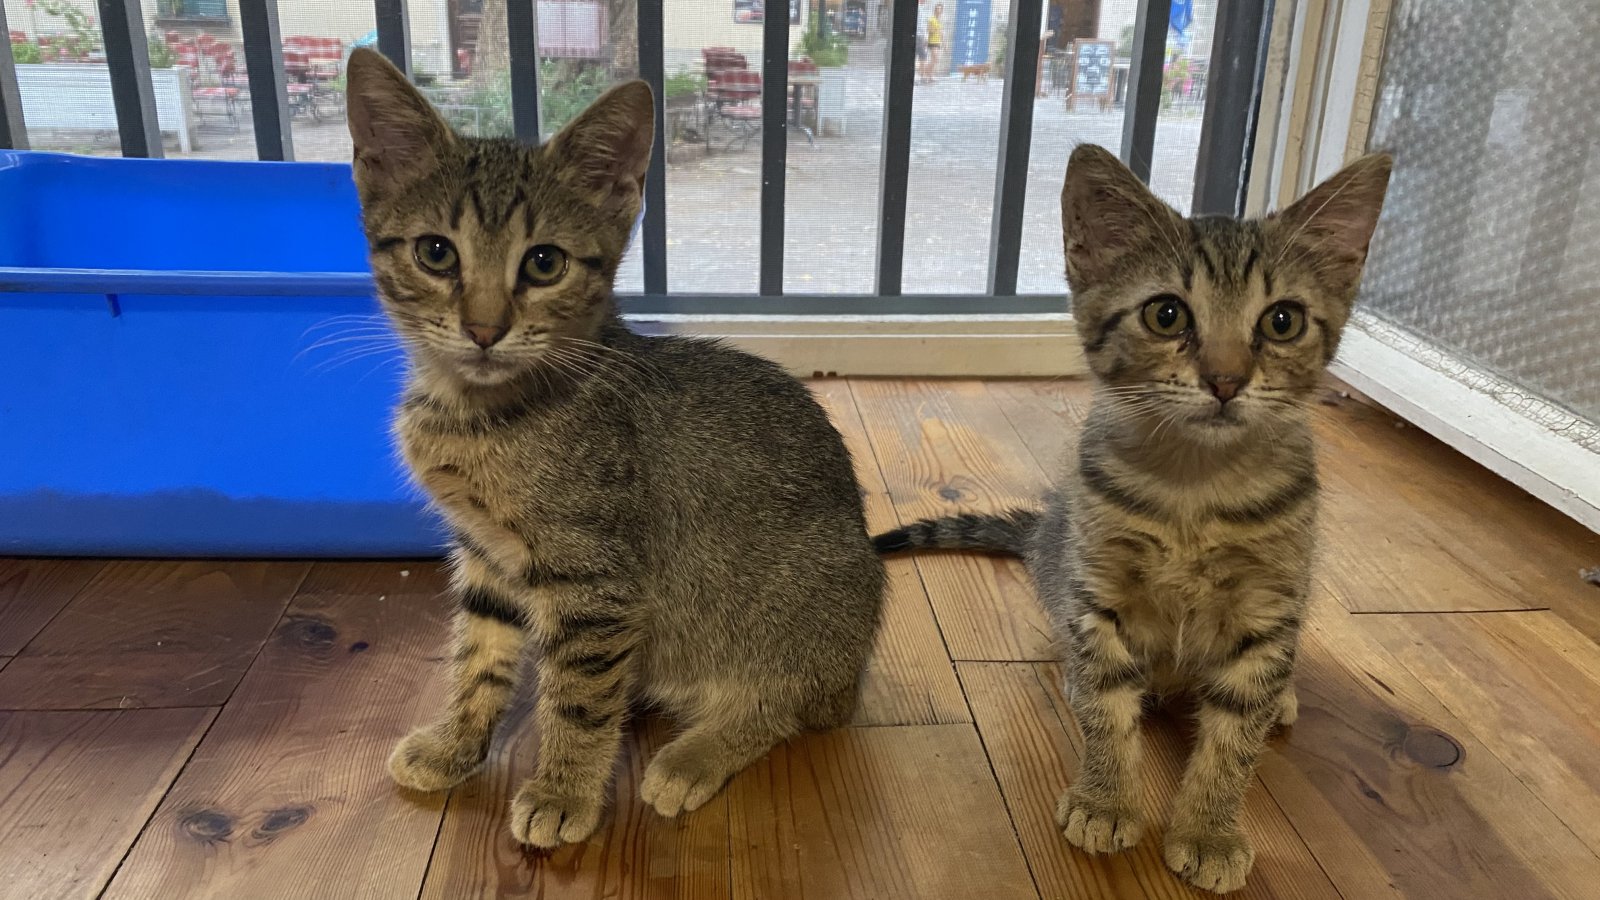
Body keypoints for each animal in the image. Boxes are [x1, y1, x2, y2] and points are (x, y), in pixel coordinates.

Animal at [343, 48, 886, 849]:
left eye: (544, 263)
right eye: (435, 252)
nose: (483, 329)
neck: (480, 414)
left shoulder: (595, 581)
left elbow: (579, 696)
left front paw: (563, 791)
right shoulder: (484, 557)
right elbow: (478, 658)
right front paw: (456, 744)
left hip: (797, 607)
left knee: (788, 702)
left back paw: (693, 756)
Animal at [875, 144, 1390, 893]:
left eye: (1282, 321)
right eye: (1167, 315)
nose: (1226, 379)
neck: (1194, 491)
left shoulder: (1268, 607)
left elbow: (1235, 738)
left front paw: (1209, 830)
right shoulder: (1098, 594)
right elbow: (1106, 710)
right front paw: (1106, 799)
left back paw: (1284, 697)